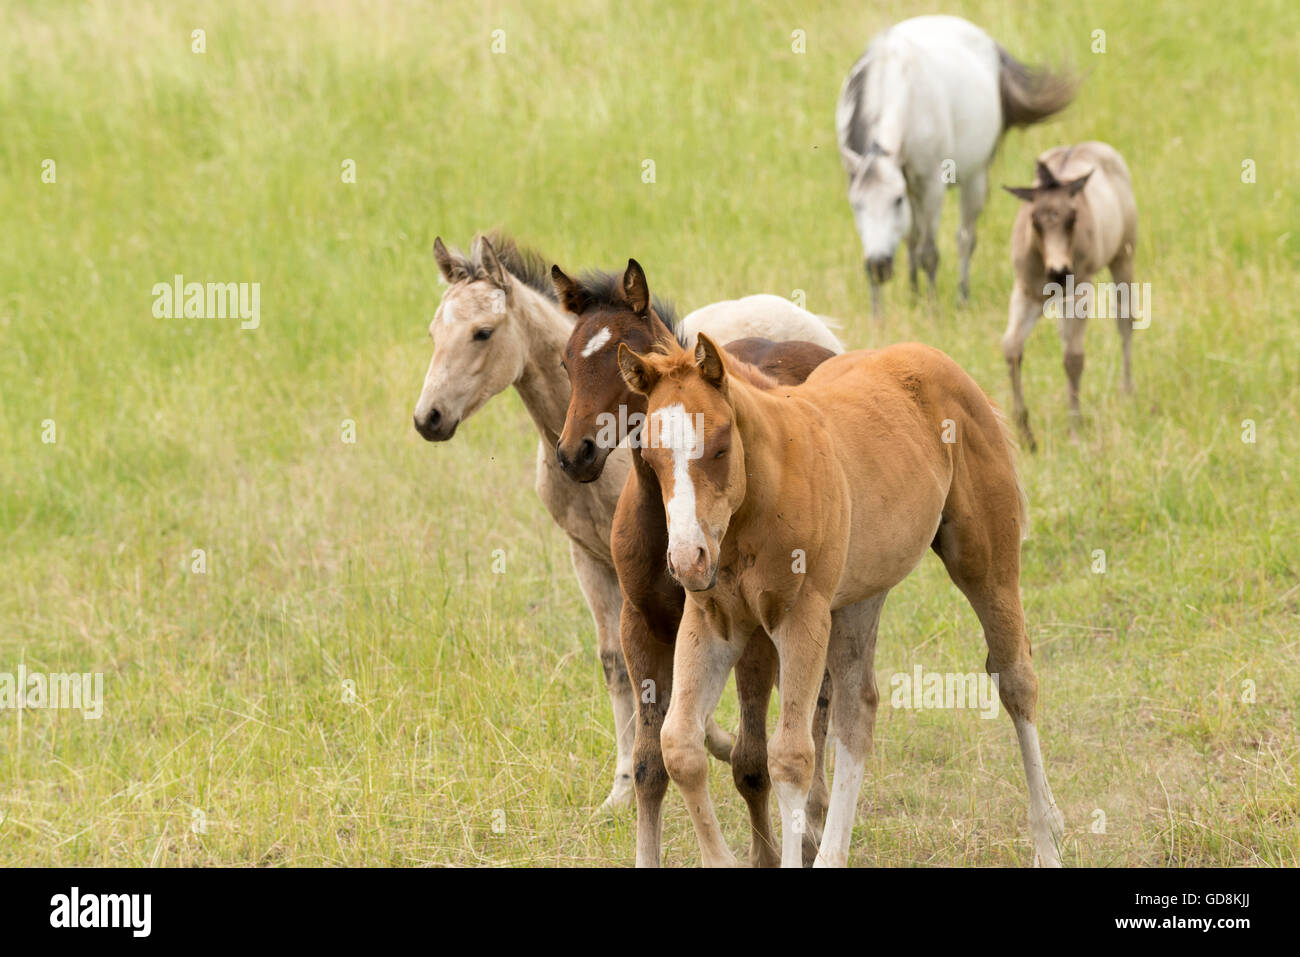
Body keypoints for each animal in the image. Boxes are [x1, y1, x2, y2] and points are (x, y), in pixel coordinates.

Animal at [551, 260, 842, 868]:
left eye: (629, 357)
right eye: (566, 360)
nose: (575, 453)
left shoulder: (752, 634)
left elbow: (753, 763)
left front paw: (769, 853)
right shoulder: (641, 627)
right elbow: (650, 763)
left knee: (823, 700)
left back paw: (816, 817)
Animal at [618, 332, 1066, 868]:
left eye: (721, 445)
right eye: (650, 457)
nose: (687, 559)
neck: (757, 504)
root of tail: (935, 360)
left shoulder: (801, 618)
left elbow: (790, 758)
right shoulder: (712, 621)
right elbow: (680, 747)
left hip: (986, 565)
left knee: (1016, 679)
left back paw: (1048, 840)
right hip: (857, 598)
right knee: (858, 708)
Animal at [832, 13, 1076, 314]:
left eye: (896, 200)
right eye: (856, 204)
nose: (879, 266)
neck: (894, 83)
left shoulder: (930, 187)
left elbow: (929, 253)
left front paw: (932, 311)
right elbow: (908, 242)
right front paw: (879, 316)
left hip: (974, 180)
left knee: (964, 239)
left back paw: (962, 298)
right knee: (913, 238)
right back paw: (914, 294)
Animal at [993, 143, 1138, 452]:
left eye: (1073, 218)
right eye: (1034, 220)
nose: (1059, 272)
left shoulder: (1080, 288)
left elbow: (1073, 357)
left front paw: (1075, 429)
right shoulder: (1025, 291)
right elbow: (1011, 346)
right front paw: (1025, 435)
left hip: (1123, 255)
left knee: (1125, 319)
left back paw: (1126, 390)